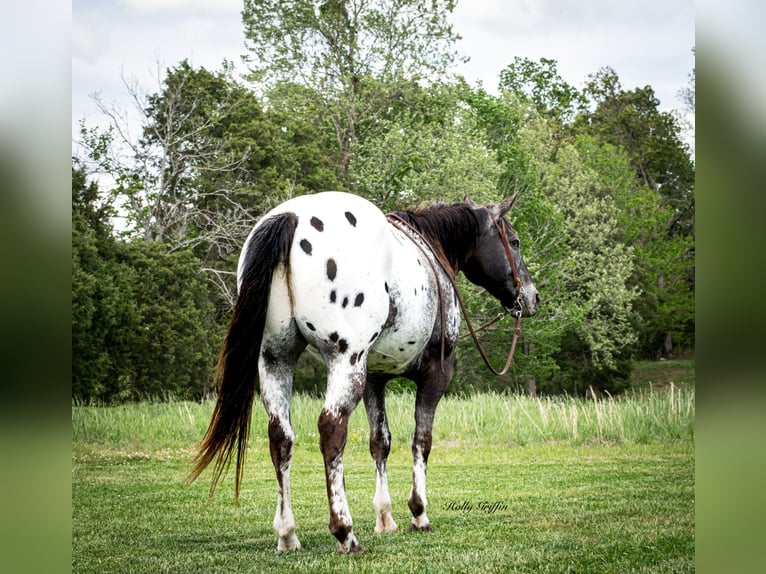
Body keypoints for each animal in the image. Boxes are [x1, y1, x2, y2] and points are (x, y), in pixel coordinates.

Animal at [190, 191, 544, 556]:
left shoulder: (374, 378)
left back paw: (288, 534)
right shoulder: (436, 374)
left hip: (276, 360)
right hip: (345, 362)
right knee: (331, 429)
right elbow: (422, 441)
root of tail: (292, 216)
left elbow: (380, 442)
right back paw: (344, 532)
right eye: (514, 241)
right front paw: (418, 513)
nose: (532, 297)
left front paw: (385, 518)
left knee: (281, 438)